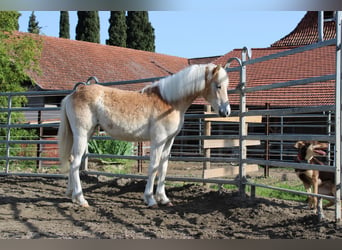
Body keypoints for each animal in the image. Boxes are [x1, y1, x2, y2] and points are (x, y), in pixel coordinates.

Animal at [58, 63, 230, 208]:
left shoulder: (169, 141)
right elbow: (153, 167)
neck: (169, 101)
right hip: (81, 134)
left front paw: (164, 199)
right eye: (219, 86)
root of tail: (73, 94)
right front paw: (151, 199)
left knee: (73, 160)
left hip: (87, 133)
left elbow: (163, 167)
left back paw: (72, 195)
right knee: (75, 162)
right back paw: (81, 199)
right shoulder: (158, 141)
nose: (226, 112)